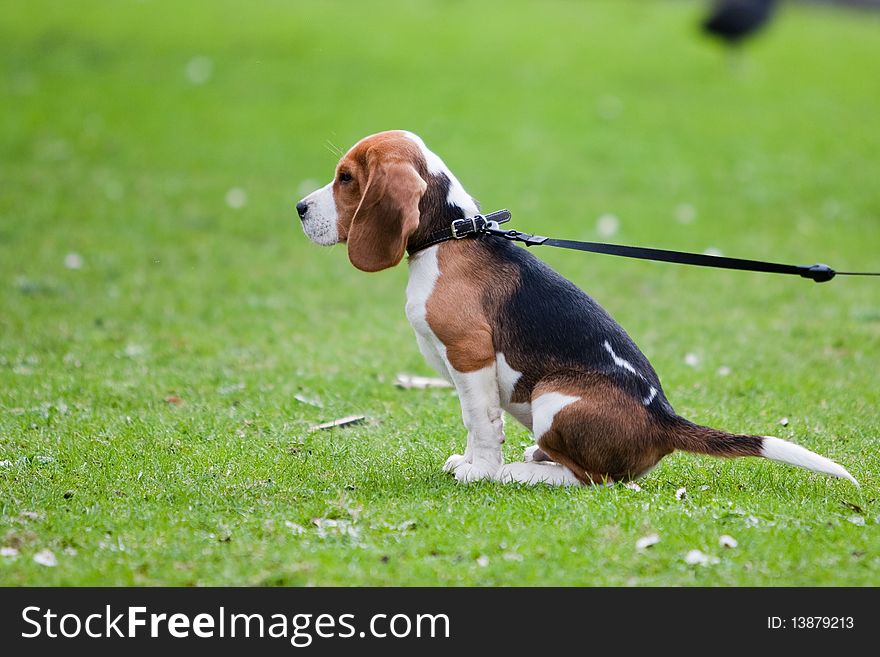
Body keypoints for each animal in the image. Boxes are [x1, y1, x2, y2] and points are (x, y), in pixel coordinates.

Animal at [294, 131, 852, 484]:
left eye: (346, 178)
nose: (298, 208)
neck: (449, 234)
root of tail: (665, 421)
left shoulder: (470, 355)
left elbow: (481, 422)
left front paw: (481, 470)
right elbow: (476, 421)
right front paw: (472, 463)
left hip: (552, 395)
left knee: (592, 479)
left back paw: (520, 473)